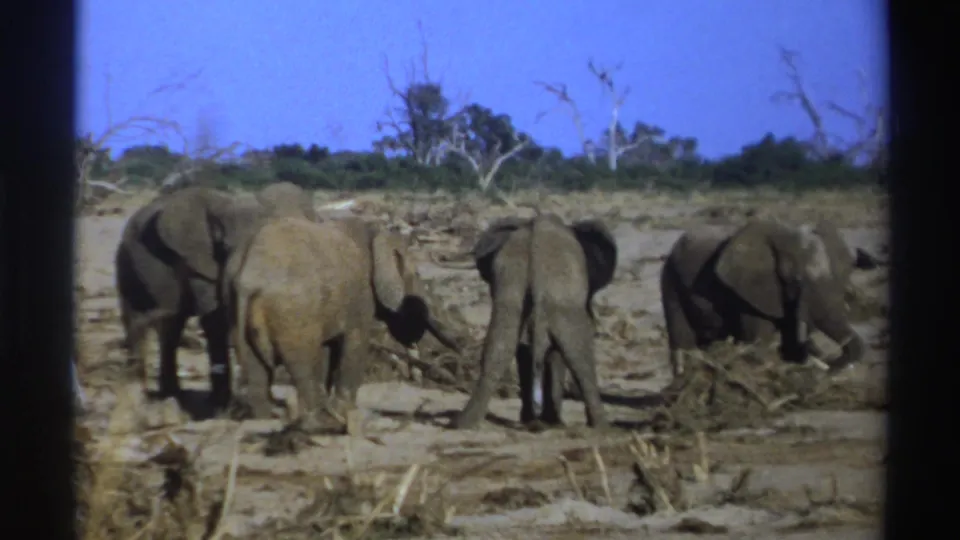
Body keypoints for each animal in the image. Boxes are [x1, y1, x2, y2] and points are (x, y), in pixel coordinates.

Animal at [114, 182, 315, 411]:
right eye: (225, 247)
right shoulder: (197, 260)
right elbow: (215, 320)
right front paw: (220, 406)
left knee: (169, 328)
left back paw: (170, 394)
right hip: (126, 261)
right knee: (139, 319)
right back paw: (145, 394)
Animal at [224, 215, 461, 430]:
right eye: (417, 275)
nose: (459, 352)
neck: (376, 232)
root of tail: (249, 276)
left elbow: (332, 349)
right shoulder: (360, 297)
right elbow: (354, 343)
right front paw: (345, 411)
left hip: (235, 303)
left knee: (257, 368)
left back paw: (264, 419)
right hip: (292, 313)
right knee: (302, 364)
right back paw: (317, 421)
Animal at [450, 213, 618, 430]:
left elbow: (526, 348)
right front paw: (551, 421)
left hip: (511, 282)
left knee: (500, 345)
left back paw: (464, 423)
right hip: (559, 292)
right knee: (577, 352)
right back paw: (601, 427)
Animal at [659, 217, 865, 378]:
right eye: (797, 280)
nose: (830, 370)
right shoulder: (748, 291)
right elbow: (758, 342)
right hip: (670, 279)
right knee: (683, 341)